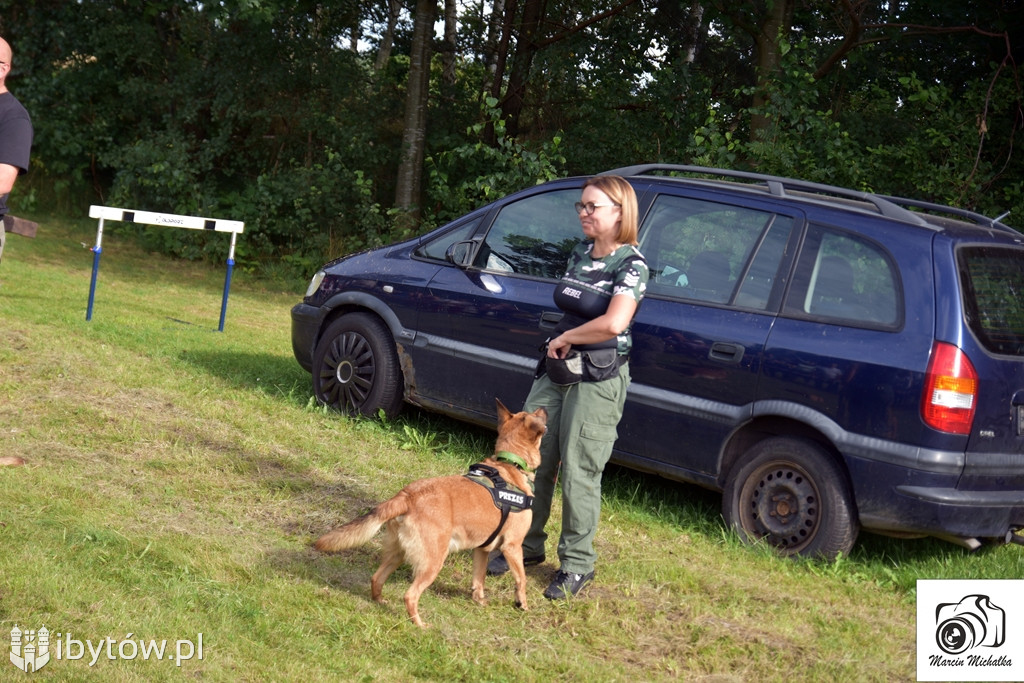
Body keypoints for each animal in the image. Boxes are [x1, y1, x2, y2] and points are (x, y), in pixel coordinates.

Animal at [315, 397, 548, 626]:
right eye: (536, 414)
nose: (544, 408)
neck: (511, 464)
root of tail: (407, 496)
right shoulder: (513, 546)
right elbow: (521, 579)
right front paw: (522, 604)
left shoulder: (482, 549)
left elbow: (478, 579)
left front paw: (479, 600)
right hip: (433, 562)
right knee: (410, 595)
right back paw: (419, 625)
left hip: (398, 553)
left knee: (377, 578)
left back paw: (380, 602)